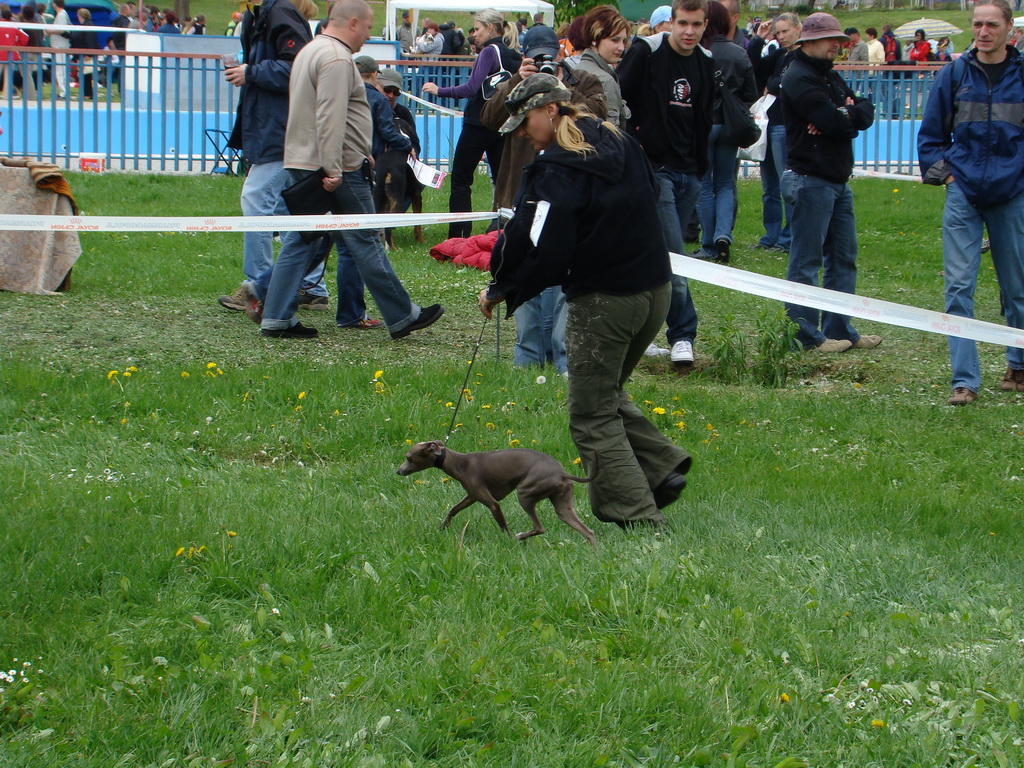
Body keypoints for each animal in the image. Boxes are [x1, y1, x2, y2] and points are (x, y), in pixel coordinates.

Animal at [393, 438, 598, 548]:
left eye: (408, 457)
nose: (398, 471)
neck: (458, 462)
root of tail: (561, 472)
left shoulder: (492, 503)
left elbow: (503, 527)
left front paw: (508, 542)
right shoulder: (472, 497)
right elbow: (453, 509)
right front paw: (443, 527)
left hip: (525, 494)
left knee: (539, 527)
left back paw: (520, 537)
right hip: (563, 506)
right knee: (589, 531)